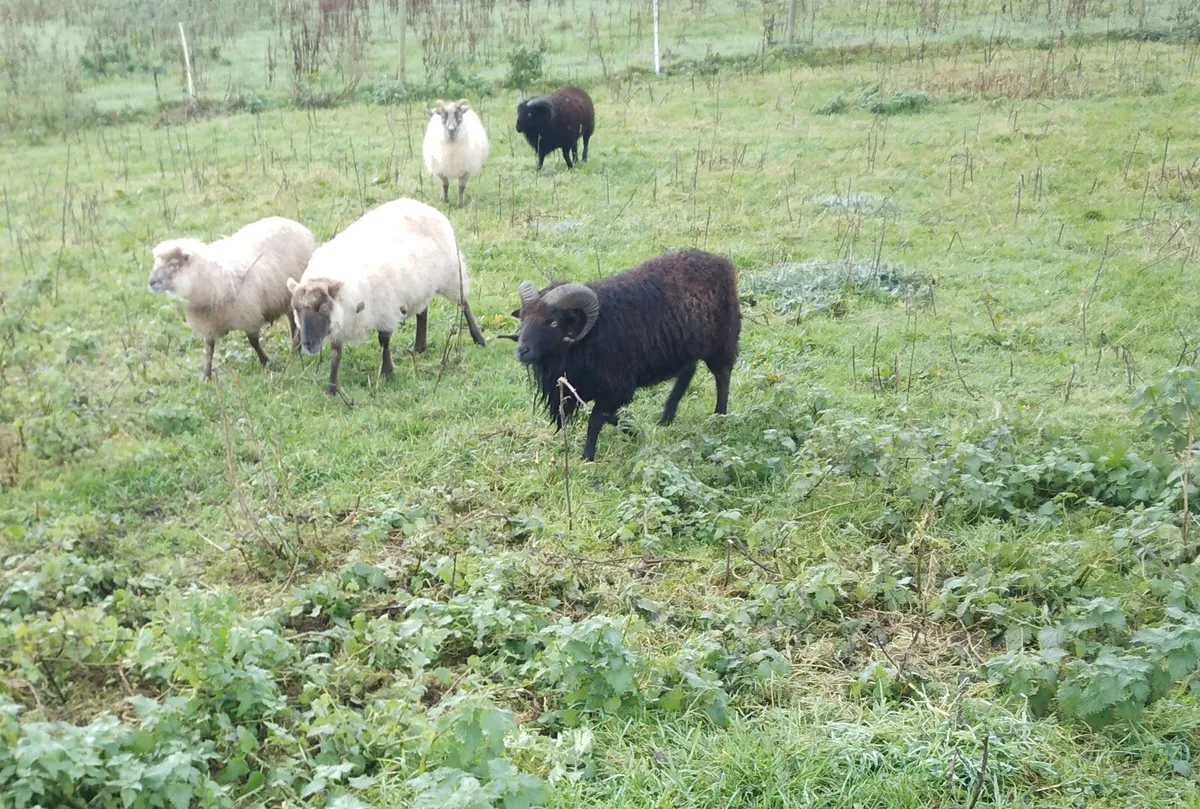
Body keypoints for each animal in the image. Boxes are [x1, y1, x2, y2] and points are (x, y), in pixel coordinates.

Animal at [148, 216, 315, 380]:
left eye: (173, 264)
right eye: (156, 263)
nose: (151, 282)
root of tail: (290, 221)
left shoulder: (248, 317)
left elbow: (253, 342)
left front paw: (265, 362)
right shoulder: (208, 325)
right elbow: (209, 349)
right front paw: (206, 376)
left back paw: (294, 349)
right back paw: (295, 348)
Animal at [287, 198, 486, 395]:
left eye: (323, 308)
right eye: (296, 309)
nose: (308, 345)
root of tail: (420, 204)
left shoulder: (385, 311)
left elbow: (383, 340)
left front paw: (387, 371)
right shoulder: (339, 325)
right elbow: (336, 354)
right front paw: (331, 388)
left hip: (452, 273)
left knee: (464, 303)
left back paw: (478, 338)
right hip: (420, 285)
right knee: (423, 310)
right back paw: (419, 346)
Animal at [511, 249, 740, 461]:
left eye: (553, 322)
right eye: (523, 317)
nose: (522, 351)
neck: (589, 333)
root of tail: (720, 261)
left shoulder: (617, 384)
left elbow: (597, 419)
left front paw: (587, 457)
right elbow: (609, 416)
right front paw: (634, 431)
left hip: (722, 340)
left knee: (722, 375)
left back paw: (719, 415)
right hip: (684, 346)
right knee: (688, 371)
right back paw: (666, 417)